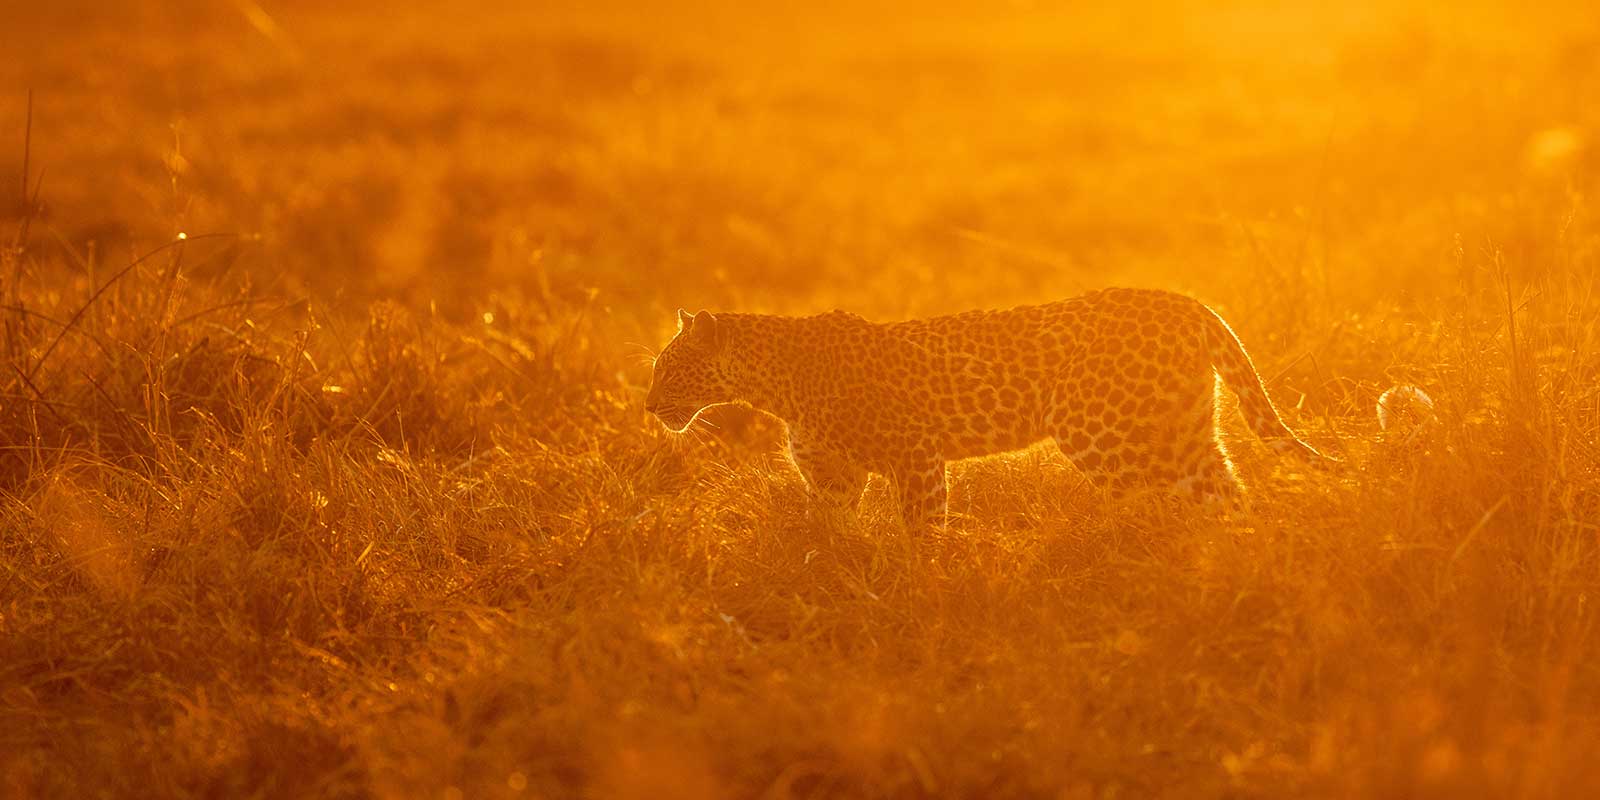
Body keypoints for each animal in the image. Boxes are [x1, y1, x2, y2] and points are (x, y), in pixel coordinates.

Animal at [645, 287, 1330, 529]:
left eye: (668, 369)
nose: (649, 406)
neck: (774, 384)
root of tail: (1188, 302)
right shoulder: (833, 481)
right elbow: (829, 536)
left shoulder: (916, 460)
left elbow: (922, 534)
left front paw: (922, 590)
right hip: (1183, 433)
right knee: (1227, 493)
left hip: (1107, 437)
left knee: (1169, 501)